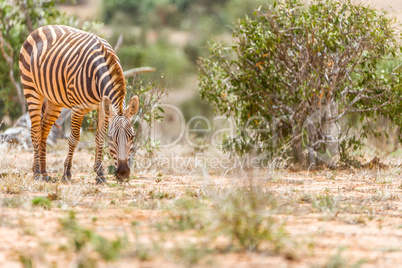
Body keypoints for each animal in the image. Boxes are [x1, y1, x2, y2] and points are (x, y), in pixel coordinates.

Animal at [18, 25, 140, 183]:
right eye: (112, 138)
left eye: (132, 136)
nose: (123, 173)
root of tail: (40, 28)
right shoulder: (78, 108)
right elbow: (74, 139)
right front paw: (67, 173)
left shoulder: (102, 107)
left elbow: (99, 138)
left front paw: (100, 174)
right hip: (31, 89)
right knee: (35, 131)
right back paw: (37, 173)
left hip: (54, 100)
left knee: (44, 130)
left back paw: (44, 172)